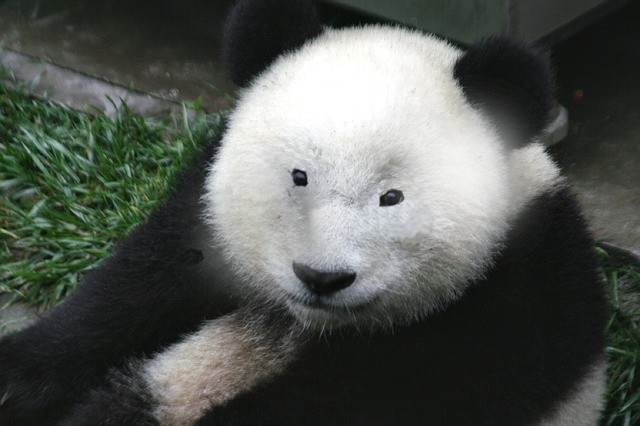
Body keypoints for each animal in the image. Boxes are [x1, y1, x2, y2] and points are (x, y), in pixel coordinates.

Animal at [0, 0, 604, 424]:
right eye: (298, 178)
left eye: (391, 197)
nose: (322, 277)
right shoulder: (204, 212)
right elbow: (129, 292)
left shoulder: (515, 304)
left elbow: (365, 400)